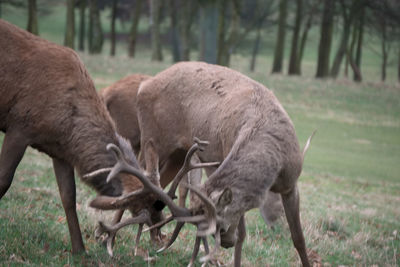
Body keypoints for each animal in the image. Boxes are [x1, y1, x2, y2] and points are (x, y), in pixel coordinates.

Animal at [0, 19, 214, 258]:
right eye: (147, 208)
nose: (159, 236)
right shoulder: (19, 126)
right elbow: (4, 180)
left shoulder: (59, 151)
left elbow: (68, 196)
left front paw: (80, 250)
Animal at [90, 61, 312, 266]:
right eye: (216, 230)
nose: (226, 243)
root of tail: (145, 85)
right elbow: (243, 234)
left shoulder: (291, 185)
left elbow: (298, 239)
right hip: (152, 138)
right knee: (136, 178)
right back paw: (107, 239)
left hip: (178, 154)